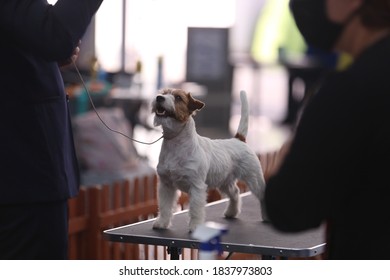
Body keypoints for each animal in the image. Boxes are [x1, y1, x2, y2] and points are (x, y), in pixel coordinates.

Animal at [151, 88, 266, 232]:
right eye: (163, 92)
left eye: (178, 98)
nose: (159, 98)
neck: (176, 144)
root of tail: (239, 139)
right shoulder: (166, 185)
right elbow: (165, 207)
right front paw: (162, 223)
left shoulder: (197, 187)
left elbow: (195, 210)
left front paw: (195, 226)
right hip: (225, 182)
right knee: (235, 193)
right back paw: (231, 212)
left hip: (254, 179)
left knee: (261, 194)